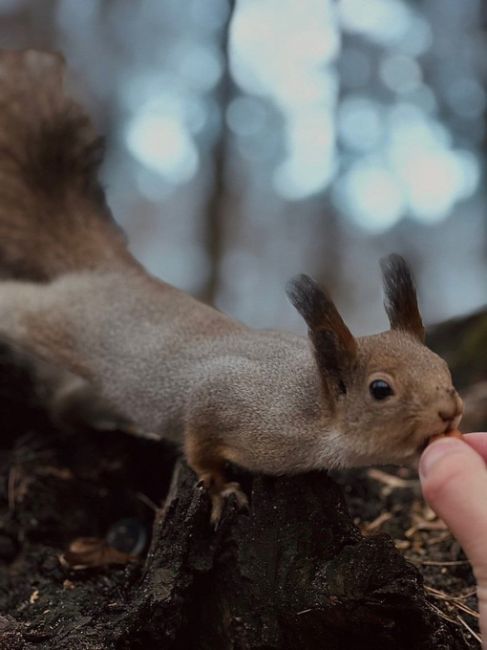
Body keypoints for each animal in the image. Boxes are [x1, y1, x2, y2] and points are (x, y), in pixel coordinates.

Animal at [0, 48, 466, 520]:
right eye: (380, 389)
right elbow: (199, 442)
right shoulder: (220, 398)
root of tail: (110, 271)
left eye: (443, 367)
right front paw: (221, 487)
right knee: (19, 304)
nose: (450, 411)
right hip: (56, 318)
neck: (309, 408)